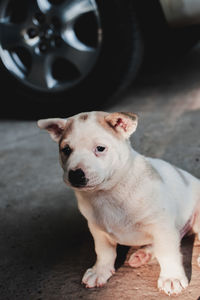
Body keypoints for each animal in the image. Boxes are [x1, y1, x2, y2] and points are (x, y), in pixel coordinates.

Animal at [37, 110, 200, 296]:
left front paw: (171, 277)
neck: (108, 193)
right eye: (66, 150)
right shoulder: (97, 229)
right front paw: (100, 271)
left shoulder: (162, 226)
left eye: (100, 148)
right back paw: (142, 255)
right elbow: (103, 252)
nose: (75, 175)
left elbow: (168, 253)